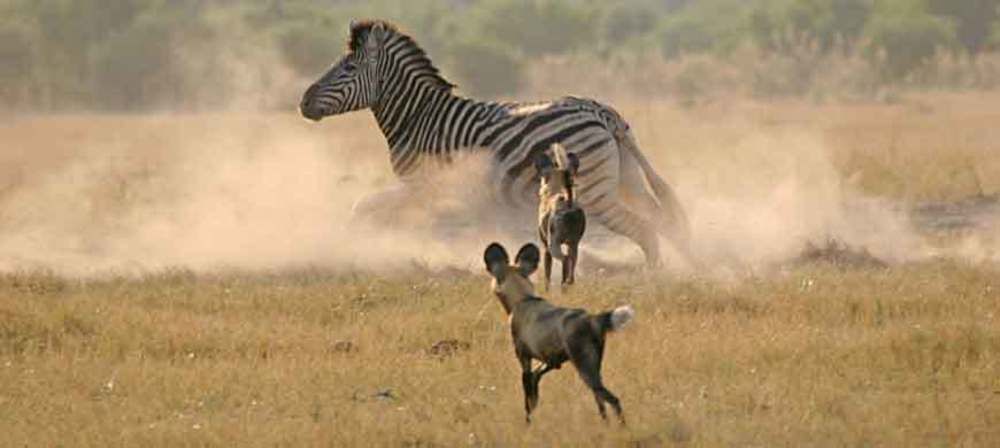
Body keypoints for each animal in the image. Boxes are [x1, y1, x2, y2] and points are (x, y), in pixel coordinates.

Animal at [300, 19, 692, 266]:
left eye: (348, 69)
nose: (303, 102)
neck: (419, 116)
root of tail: (600, 112)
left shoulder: (425, 184)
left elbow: (366, 207)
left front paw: (353, 245)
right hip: (626, 179)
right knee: (661, 219)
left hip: (595, 194)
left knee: (645, 230)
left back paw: (652, 279)